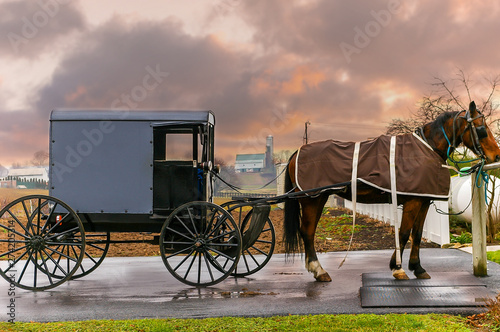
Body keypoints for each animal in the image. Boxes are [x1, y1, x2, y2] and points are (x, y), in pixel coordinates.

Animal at [284, 101, 500, 280]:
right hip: (312, 200)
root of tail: (296, 152)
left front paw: (417, 267)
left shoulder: (423, 201)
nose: (497, 155)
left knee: (308, 231)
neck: (427, 148)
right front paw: (398, 268)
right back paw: (318, 270)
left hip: (316, 199)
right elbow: (404, 233)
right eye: (482, 129)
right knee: (308, 232)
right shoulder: (413, 201)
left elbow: (417, 234)